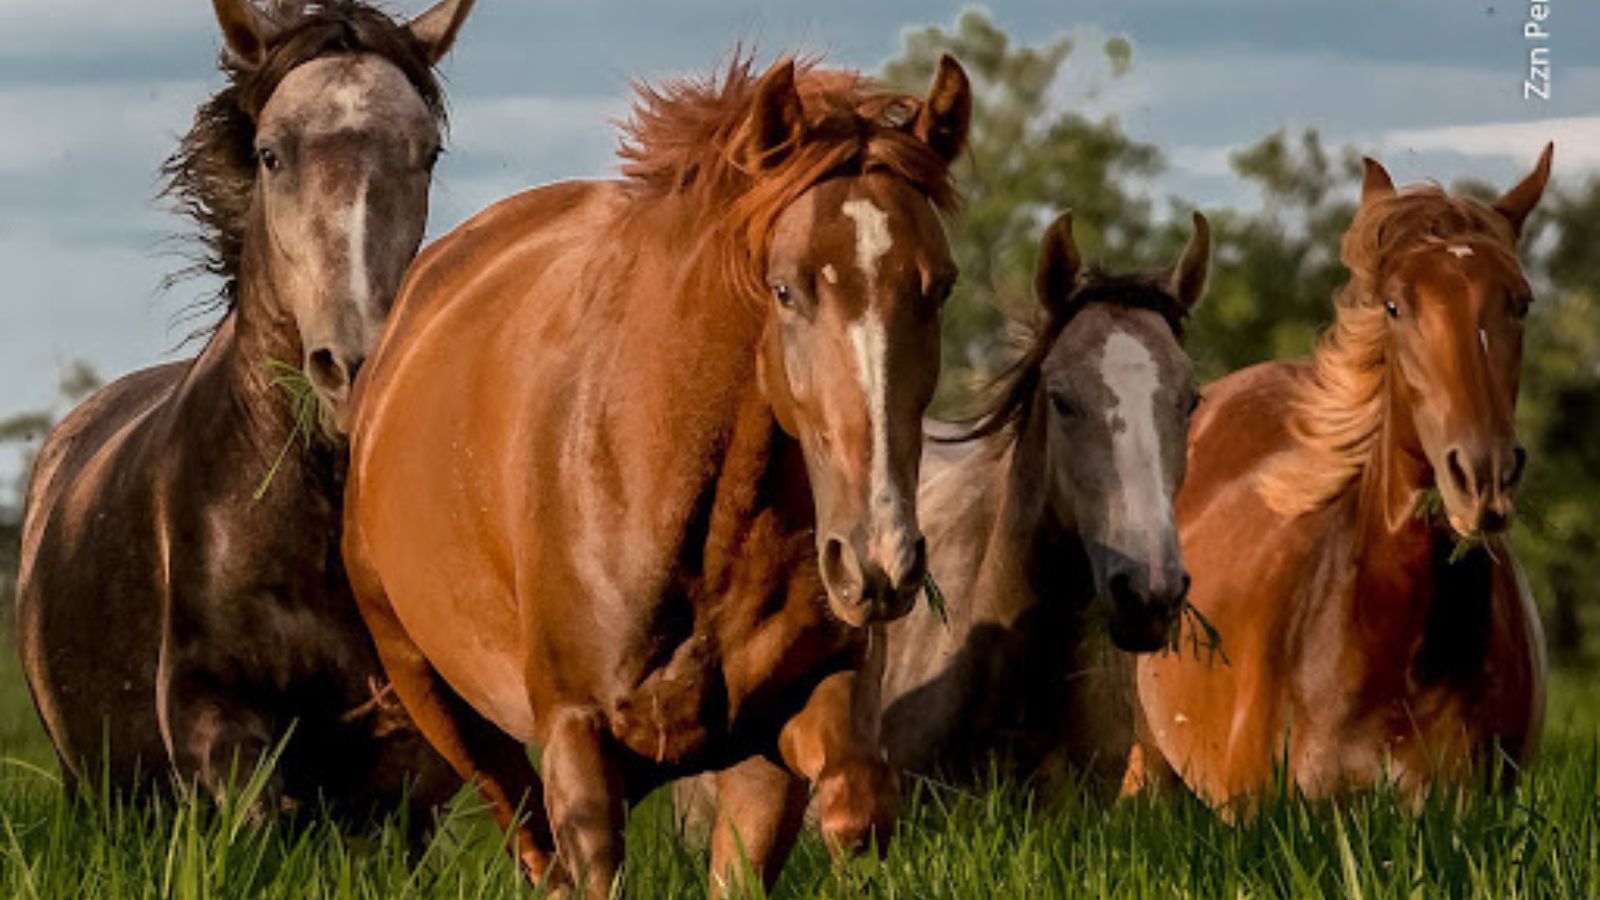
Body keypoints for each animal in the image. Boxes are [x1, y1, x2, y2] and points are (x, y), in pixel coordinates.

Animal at [347, 56, 972, 890]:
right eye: (785, 288)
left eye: (940, 286)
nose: (878, 562)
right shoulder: (576, 736)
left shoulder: (777, 732)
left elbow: (853, 808)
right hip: (440, 702)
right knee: (535, 846)